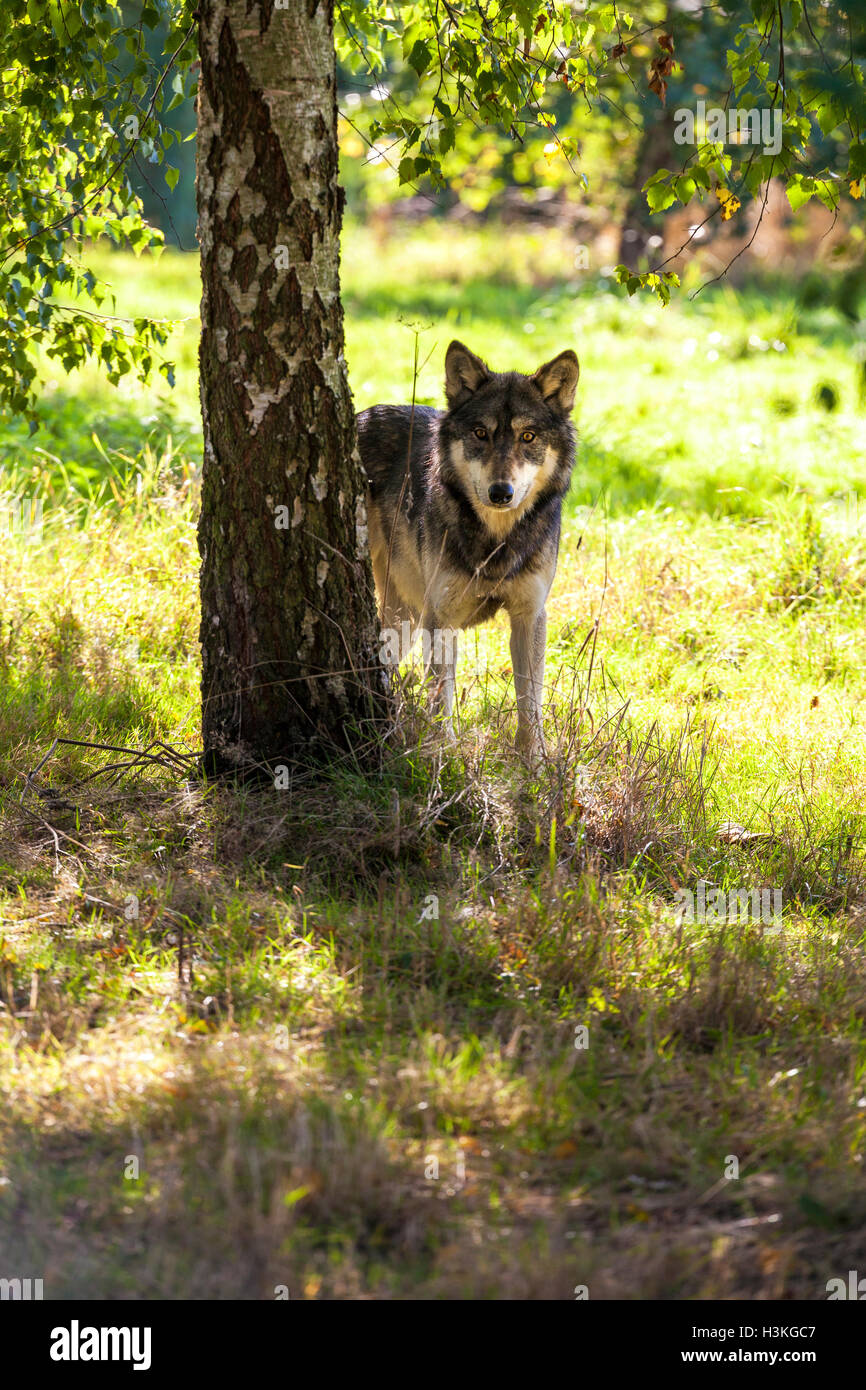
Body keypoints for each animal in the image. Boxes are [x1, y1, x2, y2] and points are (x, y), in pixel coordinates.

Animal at [355, 339, 578, 761]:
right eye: (480, 433)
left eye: (528, 437)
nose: (500, 493)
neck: (496, 543)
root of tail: (359, 415)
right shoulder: (441, 619)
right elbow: (441, 698)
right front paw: (444, 756)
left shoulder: (530, 615)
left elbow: (530, 700)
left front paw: (535, 762)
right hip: (413, 614)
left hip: (405, 617)